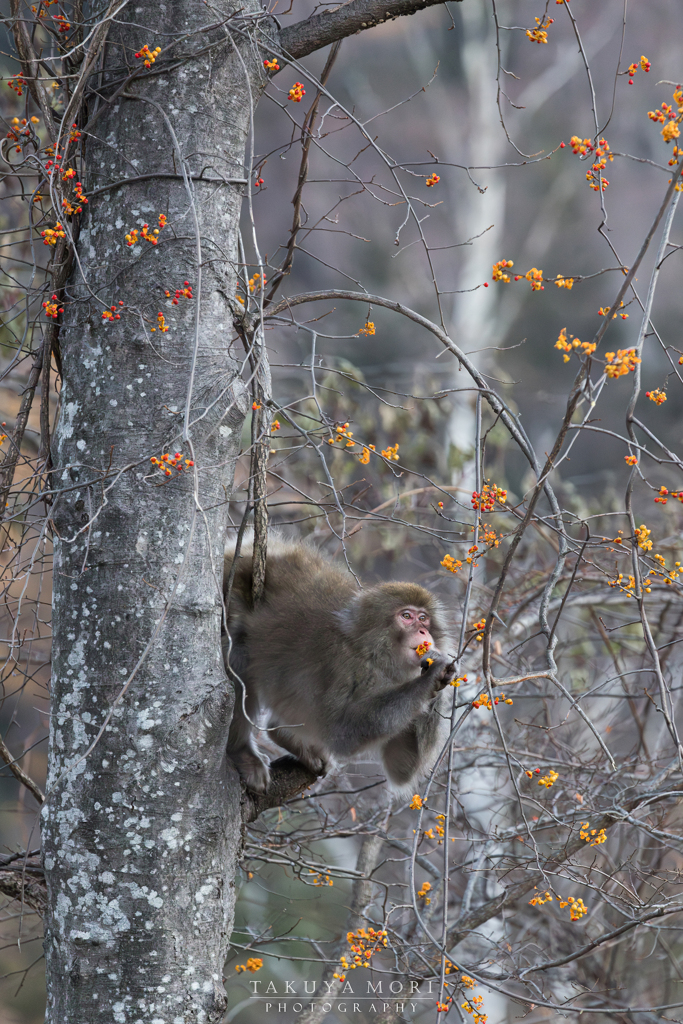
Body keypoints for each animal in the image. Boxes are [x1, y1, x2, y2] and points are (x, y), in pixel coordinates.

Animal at [223, 536, 454, 798]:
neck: (370, 650)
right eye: (407, 616)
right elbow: (339, 732)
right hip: (231, 592)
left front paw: (440, 672)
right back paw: (241, 751)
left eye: (423, 618)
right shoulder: (343, 665)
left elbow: (400, 766)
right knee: (237, 653)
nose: (423, 631)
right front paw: (432, 676)